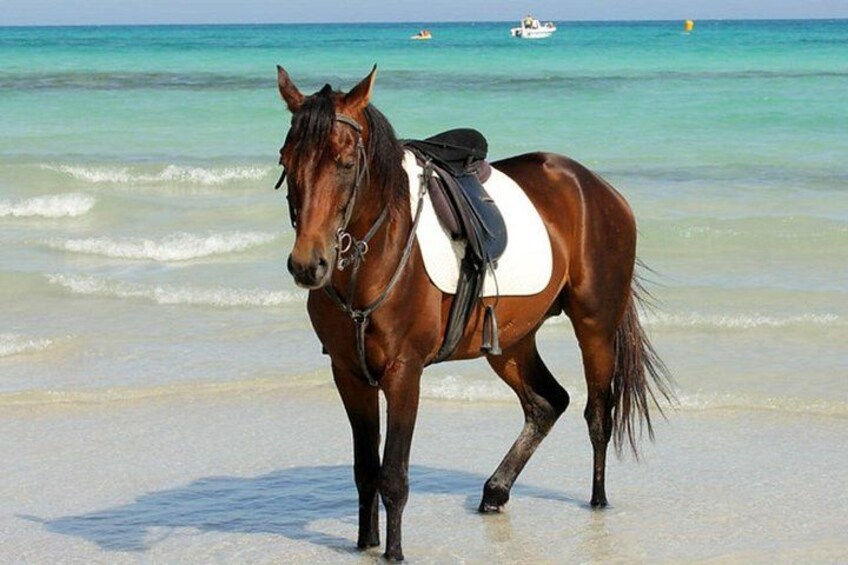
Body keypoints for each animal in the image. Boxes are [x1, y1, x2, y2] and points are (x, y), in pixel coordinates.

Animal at [275, 65, 673, 561]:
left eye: (346, 163)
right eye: (286, 162)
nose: (308, 264)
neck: (375, 257)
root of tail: (596, 187)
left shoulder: (404, 373)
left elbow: (393, 475)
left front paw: (394, 551)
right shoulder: (349, 373)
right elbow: (365, 470)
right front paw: (366, 544)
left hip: (595, 326)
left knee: (598, 414)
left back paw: (597, 502)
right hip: (511, 341)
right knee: (547, 402)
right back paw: (496, 491)